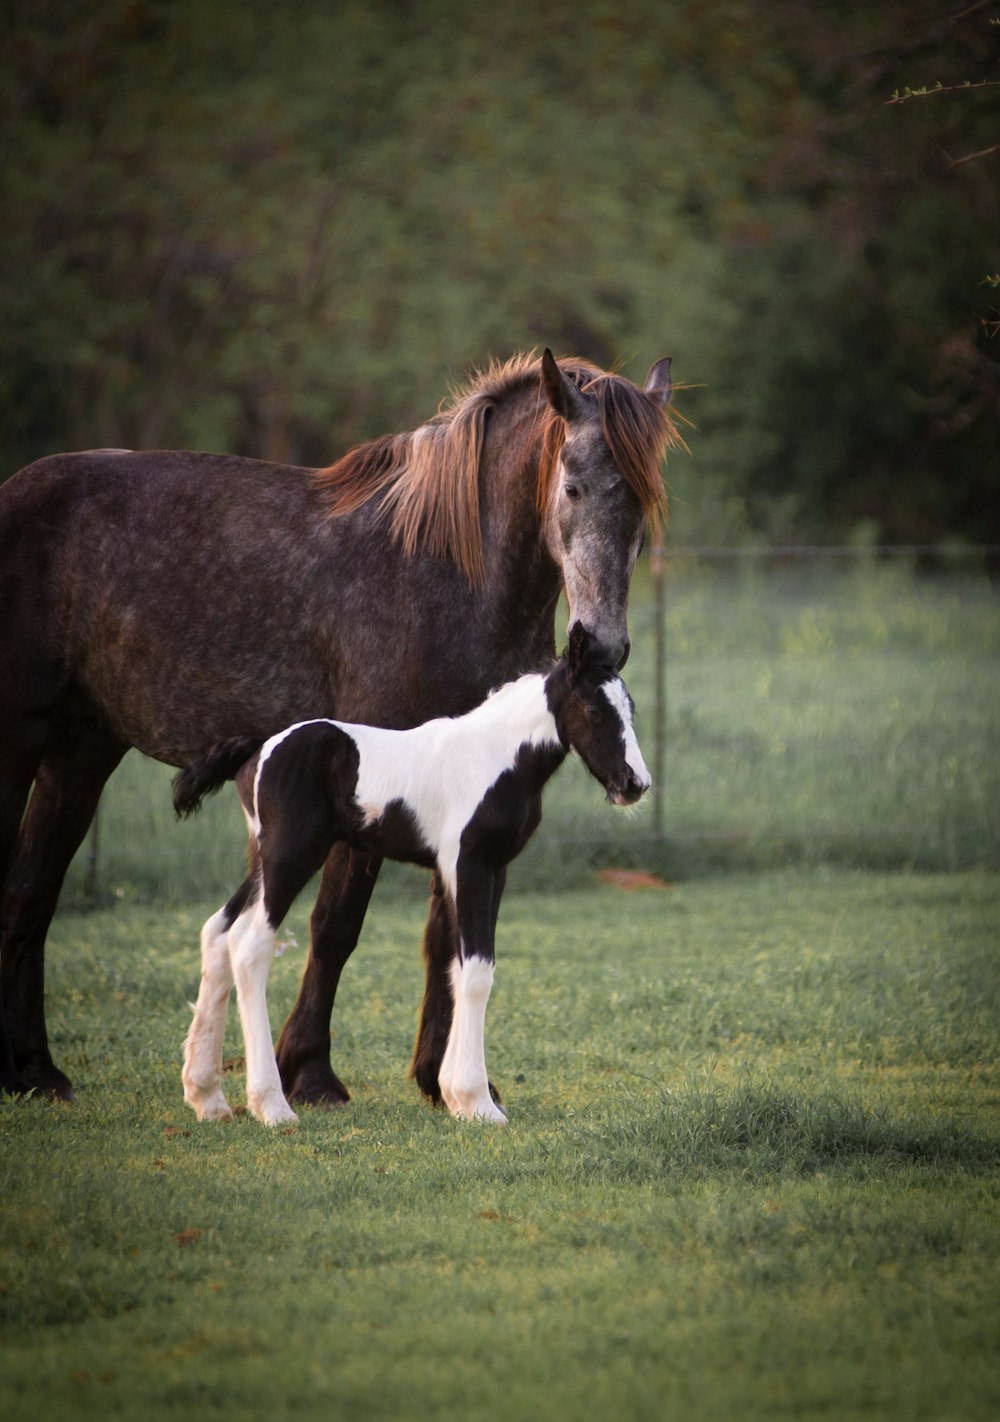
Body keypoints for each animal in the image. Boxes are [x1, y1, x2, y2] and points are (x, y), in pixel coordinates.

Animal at [174, 628, 648, 1126]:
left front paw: (456, 1096)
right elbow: (476, 971)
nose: (635, 784)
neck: (495, 755)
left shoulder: (492, 869)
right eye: (594, 711)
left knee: (218, 931)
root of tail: (260, 748)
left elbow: (457, 965)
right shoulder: (469, 864)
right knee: (249, 946)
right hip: (290, 859)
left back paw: (207, 1097)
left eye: (630, 709)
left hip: (262, 862)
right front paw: (478, 1102)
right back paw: (272, 1106)